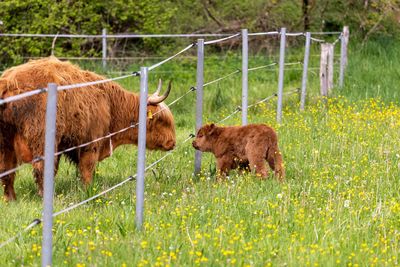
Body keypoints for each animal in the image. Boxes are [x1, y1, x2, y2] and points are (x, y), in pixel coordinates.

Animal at [0, 57, 175, 201]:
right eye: (161, 119)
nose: (173, 143)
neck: (110, 104)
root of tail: (9, 81)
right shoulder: (91, 144)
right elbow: (87, 170)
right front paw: (88, 192)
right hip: (41, 141)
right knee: (41, 169)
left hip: (6, 143)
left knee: (7, 171)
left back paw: (11, 199)